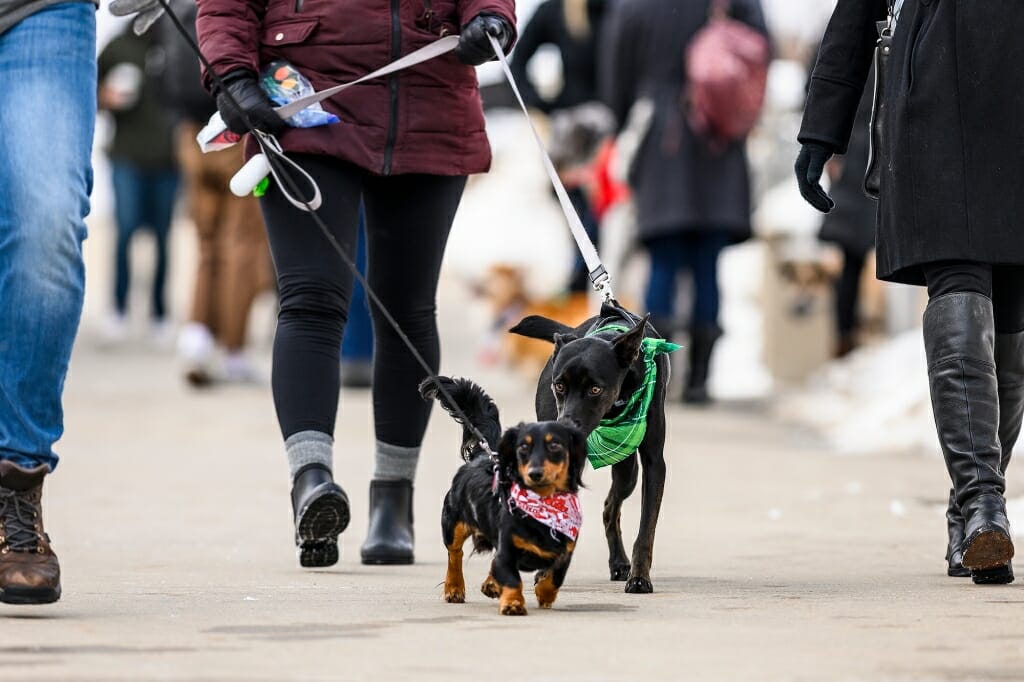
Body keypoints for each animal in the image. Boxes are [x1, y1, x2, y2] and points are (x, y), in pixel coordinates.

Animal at [419, 374, 589, 614]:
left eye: (555, 445)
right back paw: (454, 587)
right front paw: (513, 603)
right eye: (523, 447)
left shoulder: (565, 551)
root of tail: (484, 455)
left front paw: (543, 592)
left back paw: (490, 584)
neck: (543, 506)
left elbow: (555, 577)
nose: (535, 473)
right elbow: (510, 577)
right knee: (455, 553)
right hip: (453, 522)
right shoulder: (506, 548)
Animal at [509, 296, 671, 589]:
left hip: (627, 471)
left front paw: (639, 578)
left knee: (610, 507)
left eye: (595, 389)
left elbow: (646, 529)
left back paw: (619, 564)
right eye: (559, 386)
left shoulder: (655, 462)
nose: (564, 427)